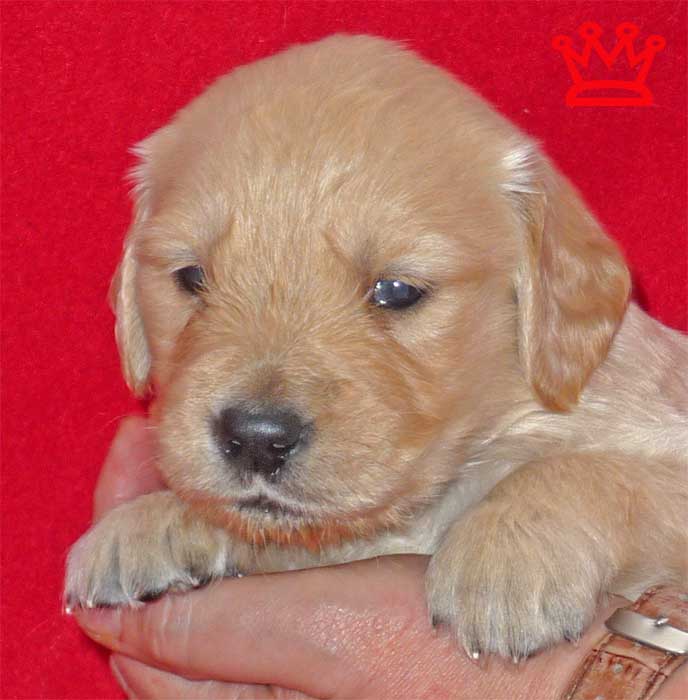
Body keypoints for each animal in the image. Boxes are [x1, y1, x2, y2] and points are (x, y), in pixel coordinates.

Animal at [65, 34, 688, 660]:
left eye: (396, 291)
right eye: (192, 277)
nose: (256, 439)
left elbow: (588, 470)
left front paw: (506, 555)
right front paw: (149, 522)